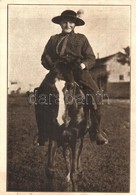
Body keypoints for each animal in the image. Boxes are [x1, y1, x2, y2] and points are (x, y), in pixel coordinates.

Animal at [33, 61, 94, 192]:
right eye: (50, 88)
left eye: (70, 86)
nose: (61, 120)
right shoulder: (54, 137)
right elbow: (50, 170)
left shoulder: (76, 139)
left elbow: (75, 173)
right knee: (67, 154)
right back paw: (67, 179)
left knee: (76, 157)